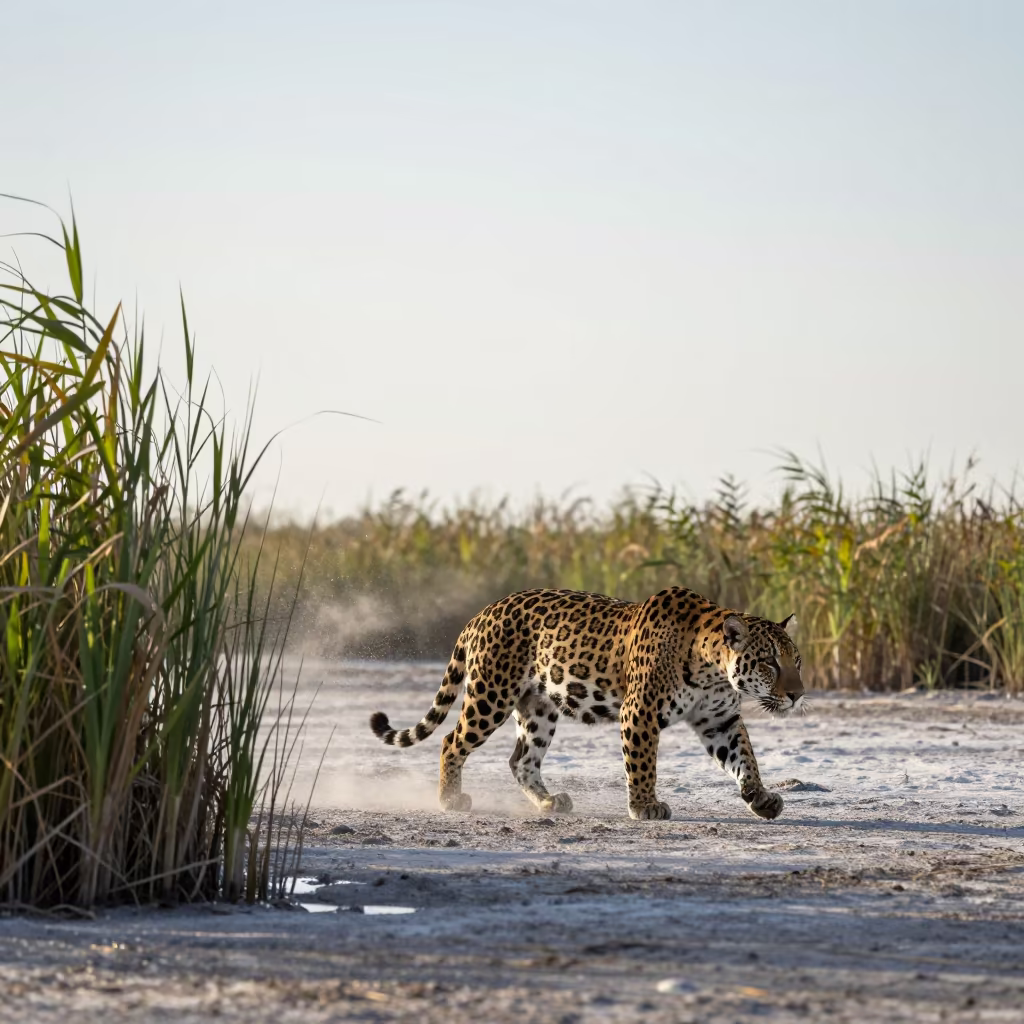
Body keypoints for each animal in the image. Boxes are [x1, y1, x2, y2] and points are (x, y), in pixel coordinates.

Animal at [369, 586, 805, 821]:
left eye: (796, 660)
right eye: (769, 662)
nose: (798, 693)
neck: (712, 666)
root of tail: (482, 612)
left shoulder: (720, 720)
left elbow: (745, 757)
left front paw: (761, 797)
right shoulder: (640, 712)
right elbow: (642, 764)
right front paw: (645, 806)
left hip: (538, 708)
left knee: (520, 759)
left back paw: (549, 801)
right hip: (491, 694)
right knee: (451, 741)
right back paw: (450, 800)